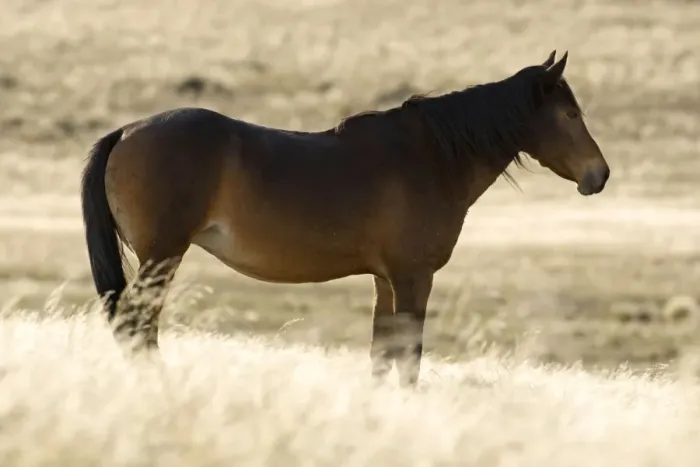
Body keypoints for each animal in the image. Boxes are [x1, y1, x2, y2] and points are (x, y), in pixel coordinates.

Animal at [80, 50, 609, 387]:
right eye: (569, 114)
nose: (599, 175)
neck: (432, 157)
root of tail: (127, 132)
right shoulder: (413, 277)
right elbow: (409, 358)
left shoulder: (385, 280)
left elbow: (381, 354)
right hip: (162, 257)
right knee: (137, 325)